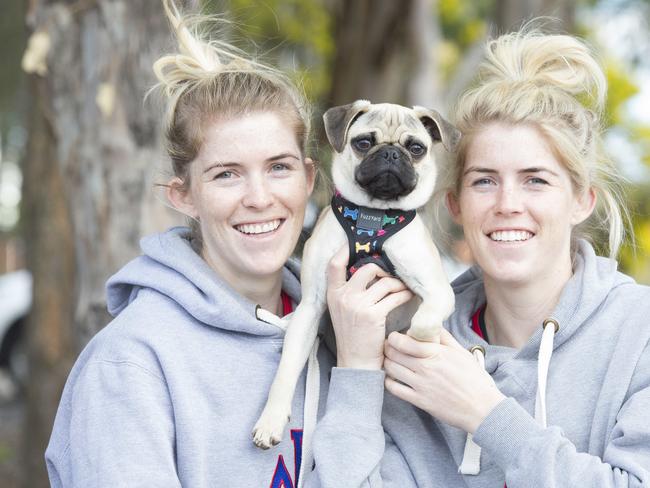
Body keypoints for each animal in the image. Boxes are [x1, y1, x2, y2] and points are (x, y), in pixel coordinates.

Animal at [251, 99, 458, 450]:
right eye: (363, 143)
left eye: (416, 148)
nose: (390, 154)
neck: (372, 216)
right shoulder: (311, 306)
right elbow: (286, 368)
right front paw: (271, 419)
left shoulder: (438, 290)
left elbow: (423, 325)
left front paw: (417, 341)